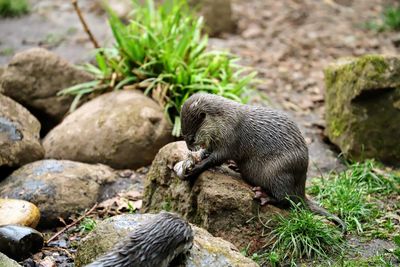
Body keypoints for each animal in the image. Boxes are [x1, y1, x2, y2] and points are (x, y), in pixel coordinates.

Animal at [180, 93, 346, 231]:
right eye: (182, 135)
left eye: (191, 138)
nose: (189, 147)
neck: (225, 121)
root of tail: (302, 187)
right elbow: (208, 152)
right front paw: (196, 157)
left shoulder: (230, 139)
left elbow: (216, 158)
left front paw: (195, 169)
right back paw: (236, 167)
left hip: (279, 171)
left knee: (286, 199)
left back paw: (263, 195)